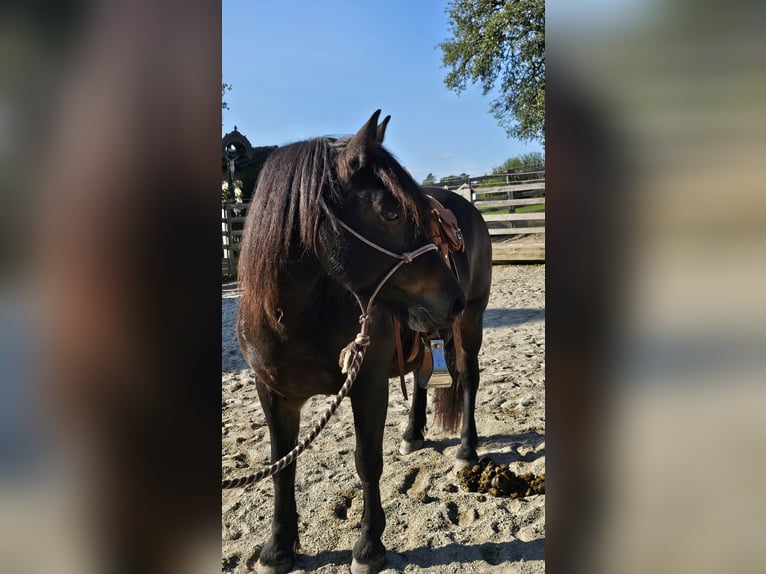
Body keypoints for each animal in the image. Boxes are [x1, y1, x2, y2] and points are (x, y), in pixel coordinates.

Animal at [237, 110, 496, 572]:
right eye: (390, 211)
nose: (453, 299)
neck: (293, 317)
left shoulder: (368, 384)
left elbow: (367, 461)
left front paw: (369, 543)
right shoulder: (273, 393)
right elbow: (281, 466)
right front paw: (278, 547)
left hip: (471, 325)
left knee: (468, 377)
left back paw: (467, 447)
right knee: (424, 376)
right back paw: (412, 433)